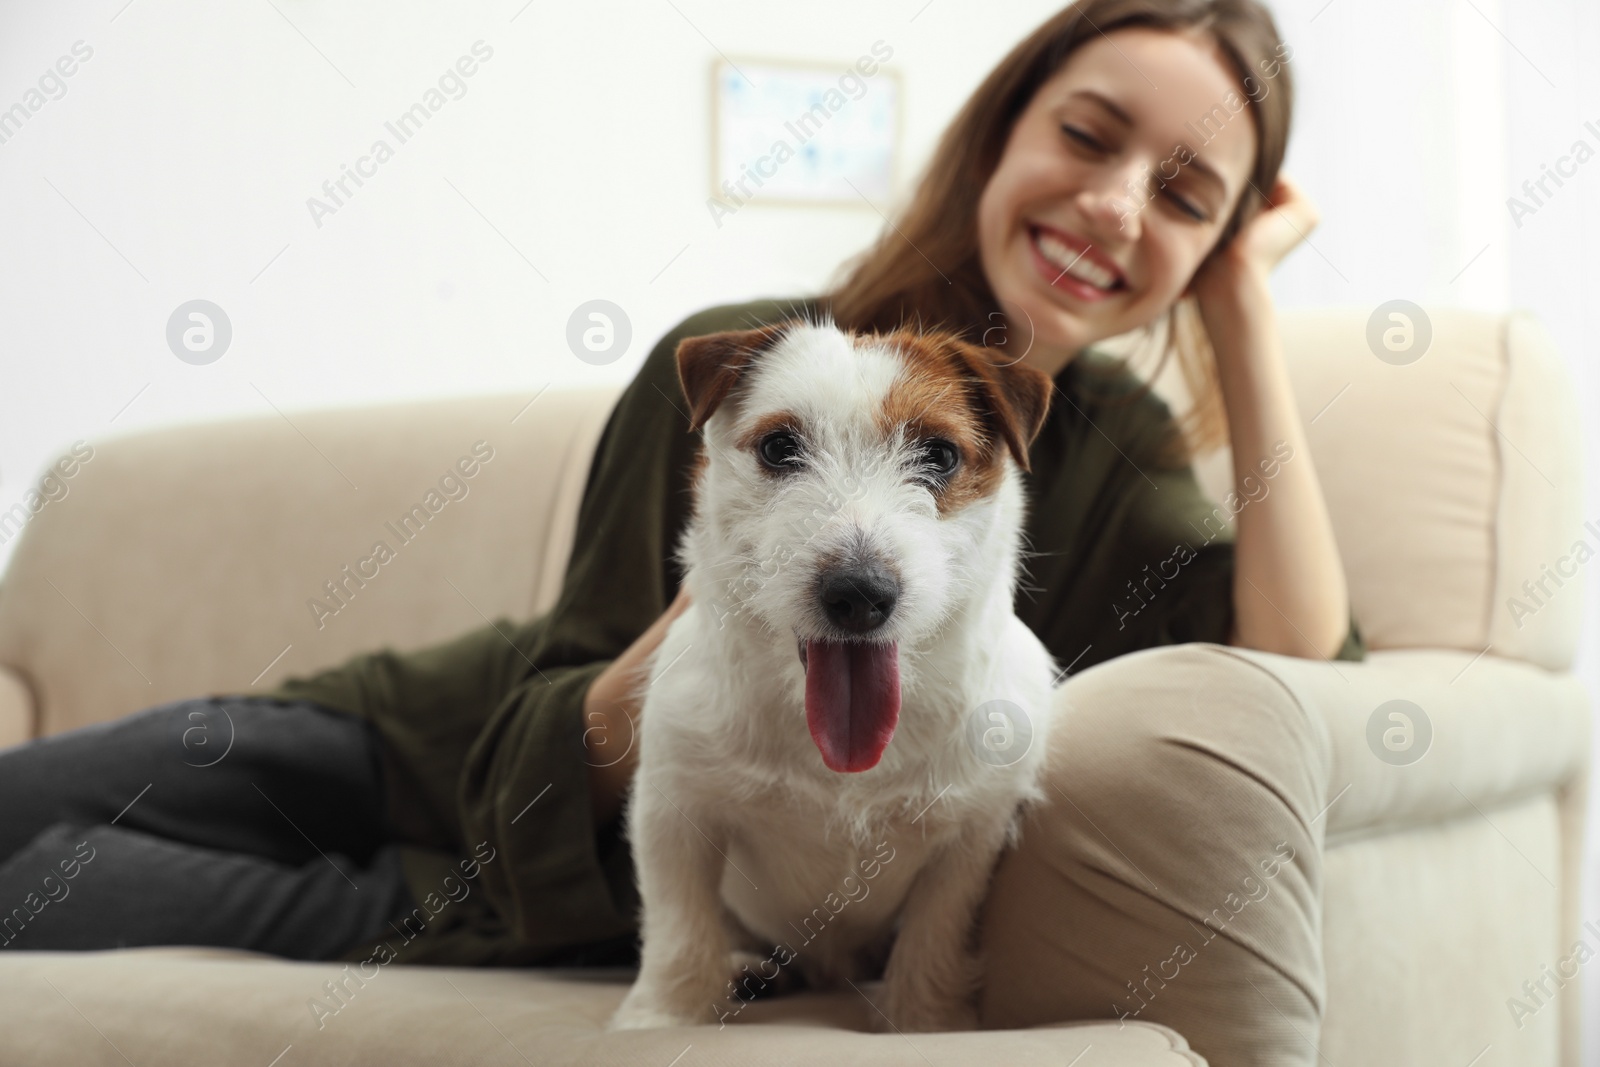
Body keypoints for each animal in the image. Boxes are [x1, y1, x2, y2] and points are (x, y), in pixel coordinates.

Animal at [608, 316, 1062, 1036]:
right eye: (779, 447)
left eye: (939, 455)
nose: (859, 593)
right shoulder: (674, 812)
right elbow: (681, 924)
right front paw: (663, 1018)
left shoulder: (971, 835)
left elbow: (935, 931)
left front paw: (926, 1021)